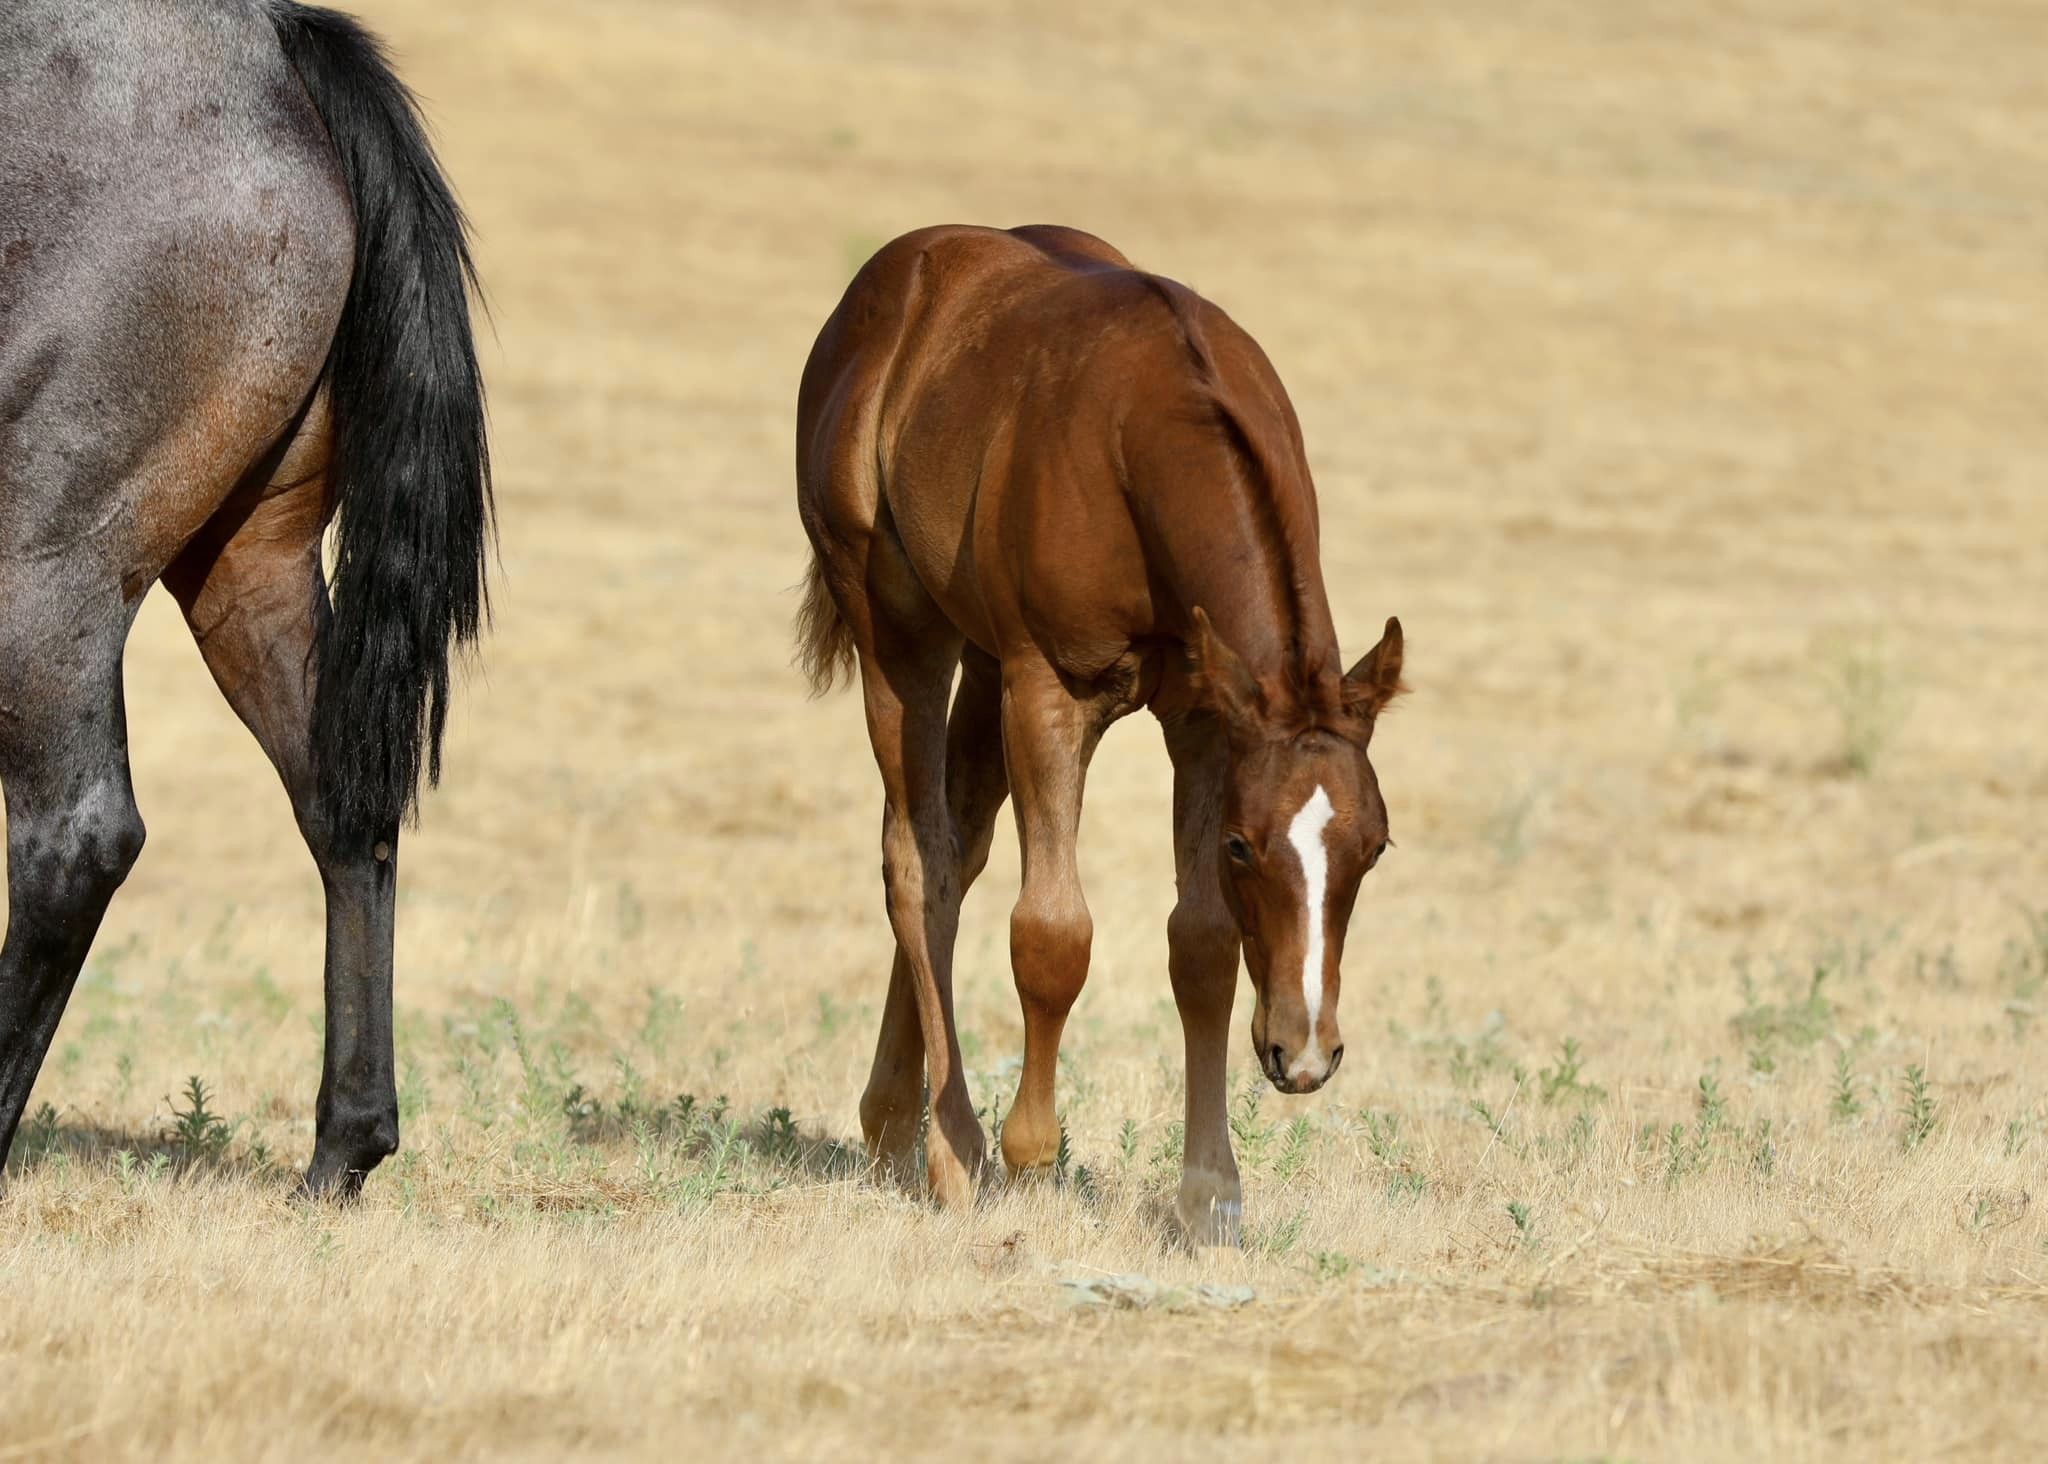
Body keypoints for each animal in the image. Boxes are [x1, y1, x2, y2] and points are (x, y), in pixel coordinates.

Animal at [0, 1, 490, 1195]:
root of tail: (273, 47)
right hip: (245, 570)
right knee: (345, 806)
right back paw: (344, 1147)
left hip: (43, 565)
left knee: (74, 843)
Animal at [794, 224, 1405, 1242]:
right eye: (1246, 848)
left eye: (1376, 848)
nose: (1305, 1053)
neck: (1145, 435)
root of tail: (888, 277)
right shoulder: (1049, 690)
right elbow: (1052, 934)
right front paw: (1030, 1159)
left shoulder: (1202, 718)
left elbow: (1201, 945)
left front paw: (1211, 1194)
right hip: (899, 629)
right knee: (915, 857)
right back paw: (949, 1152)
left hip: (982, 660)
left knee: (958, 847)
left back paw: (890, 1125)